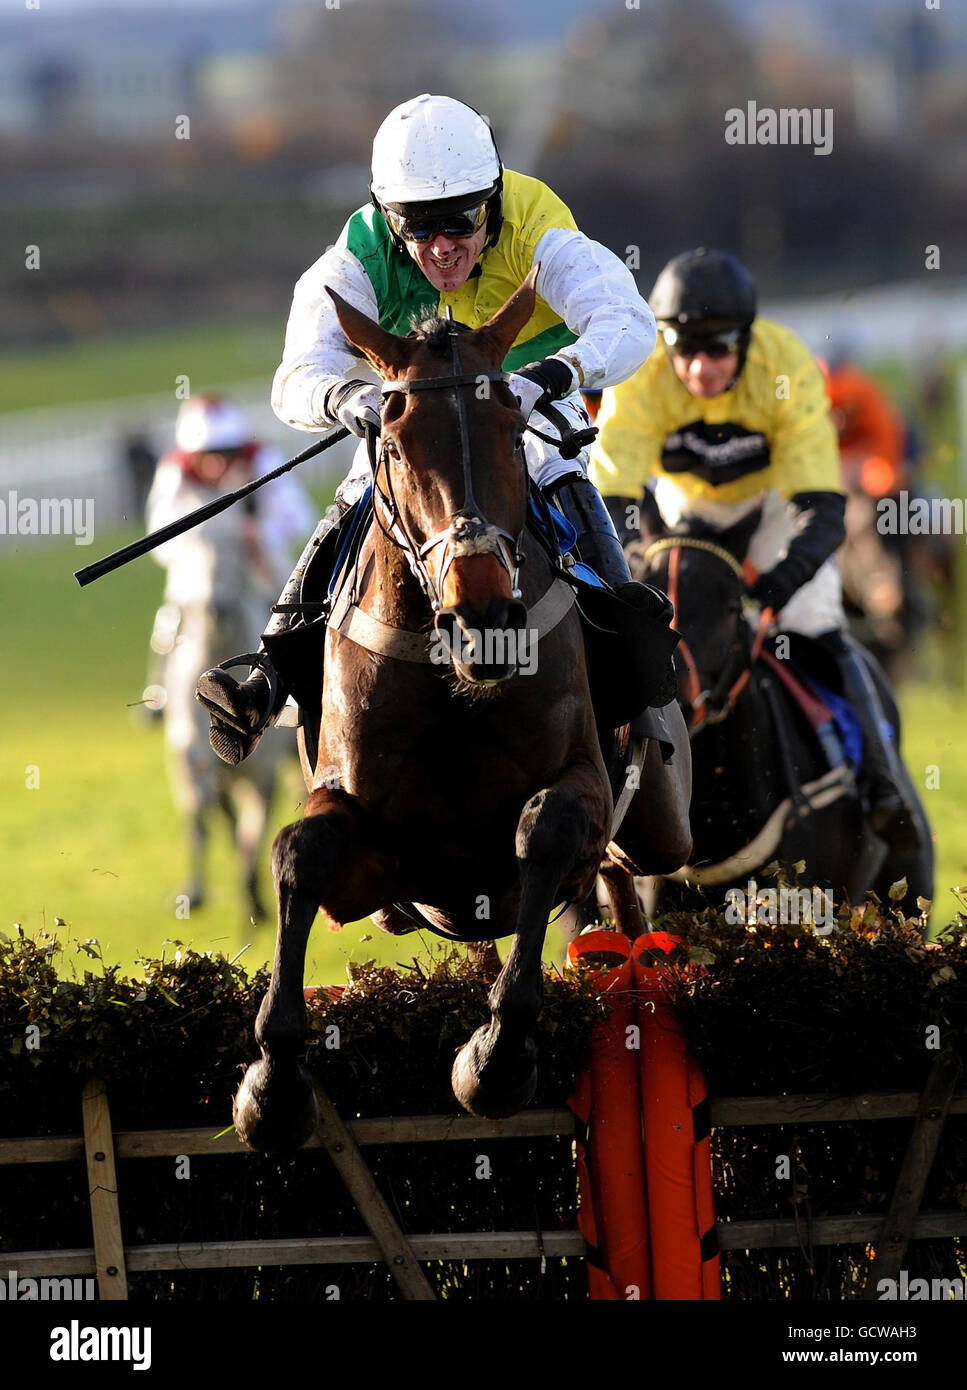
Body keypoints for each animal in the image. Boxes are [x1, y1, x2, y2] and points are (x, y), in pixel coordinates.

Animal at [232, 271, 694, 1150]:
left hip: (656, 824)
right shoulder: (377, 858)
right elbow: (301, 852)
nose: (483, 617)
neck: (453, 682)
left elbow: (545, 829)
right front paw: (272, 1085)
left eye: (513, 435)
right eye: (392, 445)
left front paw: (496, 1058)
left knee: (631, 881)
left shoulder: (580, 788)